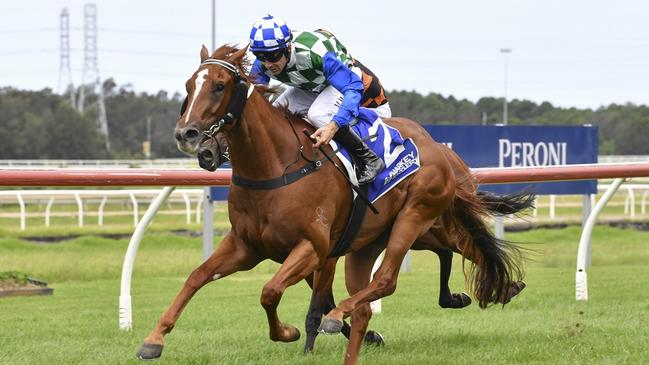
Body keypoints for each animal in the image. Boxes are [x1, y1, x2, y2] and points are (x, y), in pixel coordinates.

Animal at [135, 44, 528, 362]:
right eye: (190, 86)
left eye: (219, 85)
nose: (188, 135)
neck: (275, 167)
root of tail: (441, 151)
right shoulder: (246, 246)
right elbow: (197, 276)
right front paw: (153, 340)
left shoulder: (313, 248)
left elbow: (271, 291)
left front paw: (289, 332)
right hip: (381, 240)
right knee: (430, 266)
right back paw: (499, 288)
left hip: (416, 217)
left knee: (387, 279)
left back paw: (340, 316)